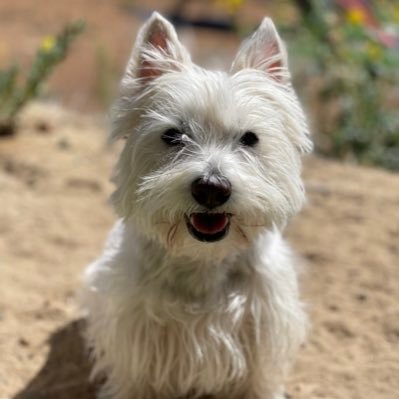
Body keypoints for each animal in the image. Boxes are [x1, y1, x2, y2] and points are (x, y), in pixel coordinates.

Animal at [83, 12, 314, 399]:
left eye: (250, 138)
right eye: (173, 135)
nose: (211, 189)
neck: (202, 260)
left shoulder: (262, 332)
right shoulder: (136, 337)